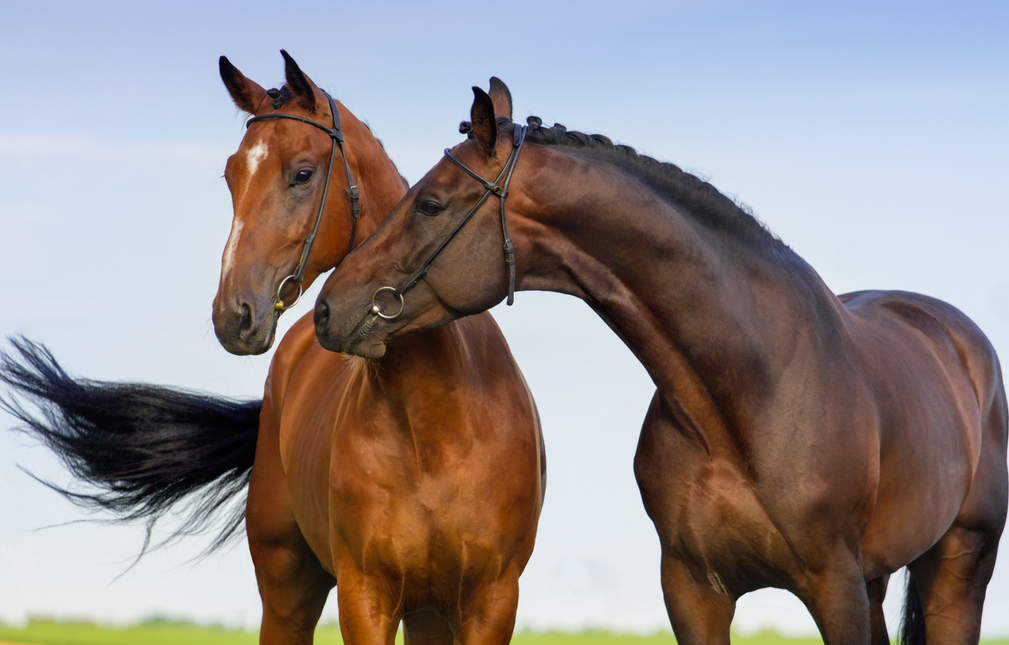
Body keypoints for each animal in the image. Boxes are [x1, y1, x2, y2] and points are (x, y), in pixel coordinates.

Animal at [0, 56, 544, 645]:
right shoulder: (365, 596)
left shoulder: (490, 603)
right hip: (288, 591)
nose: (233, 315)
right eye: (232, 175)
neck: (438, 423)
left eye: (302, 173)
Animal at [310, 80, 1004, 645]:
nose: (326, 310)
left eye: (430, 202)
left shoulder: (836, 588)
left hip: (958, 566)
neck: (750, 397)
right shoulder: (693, 590)